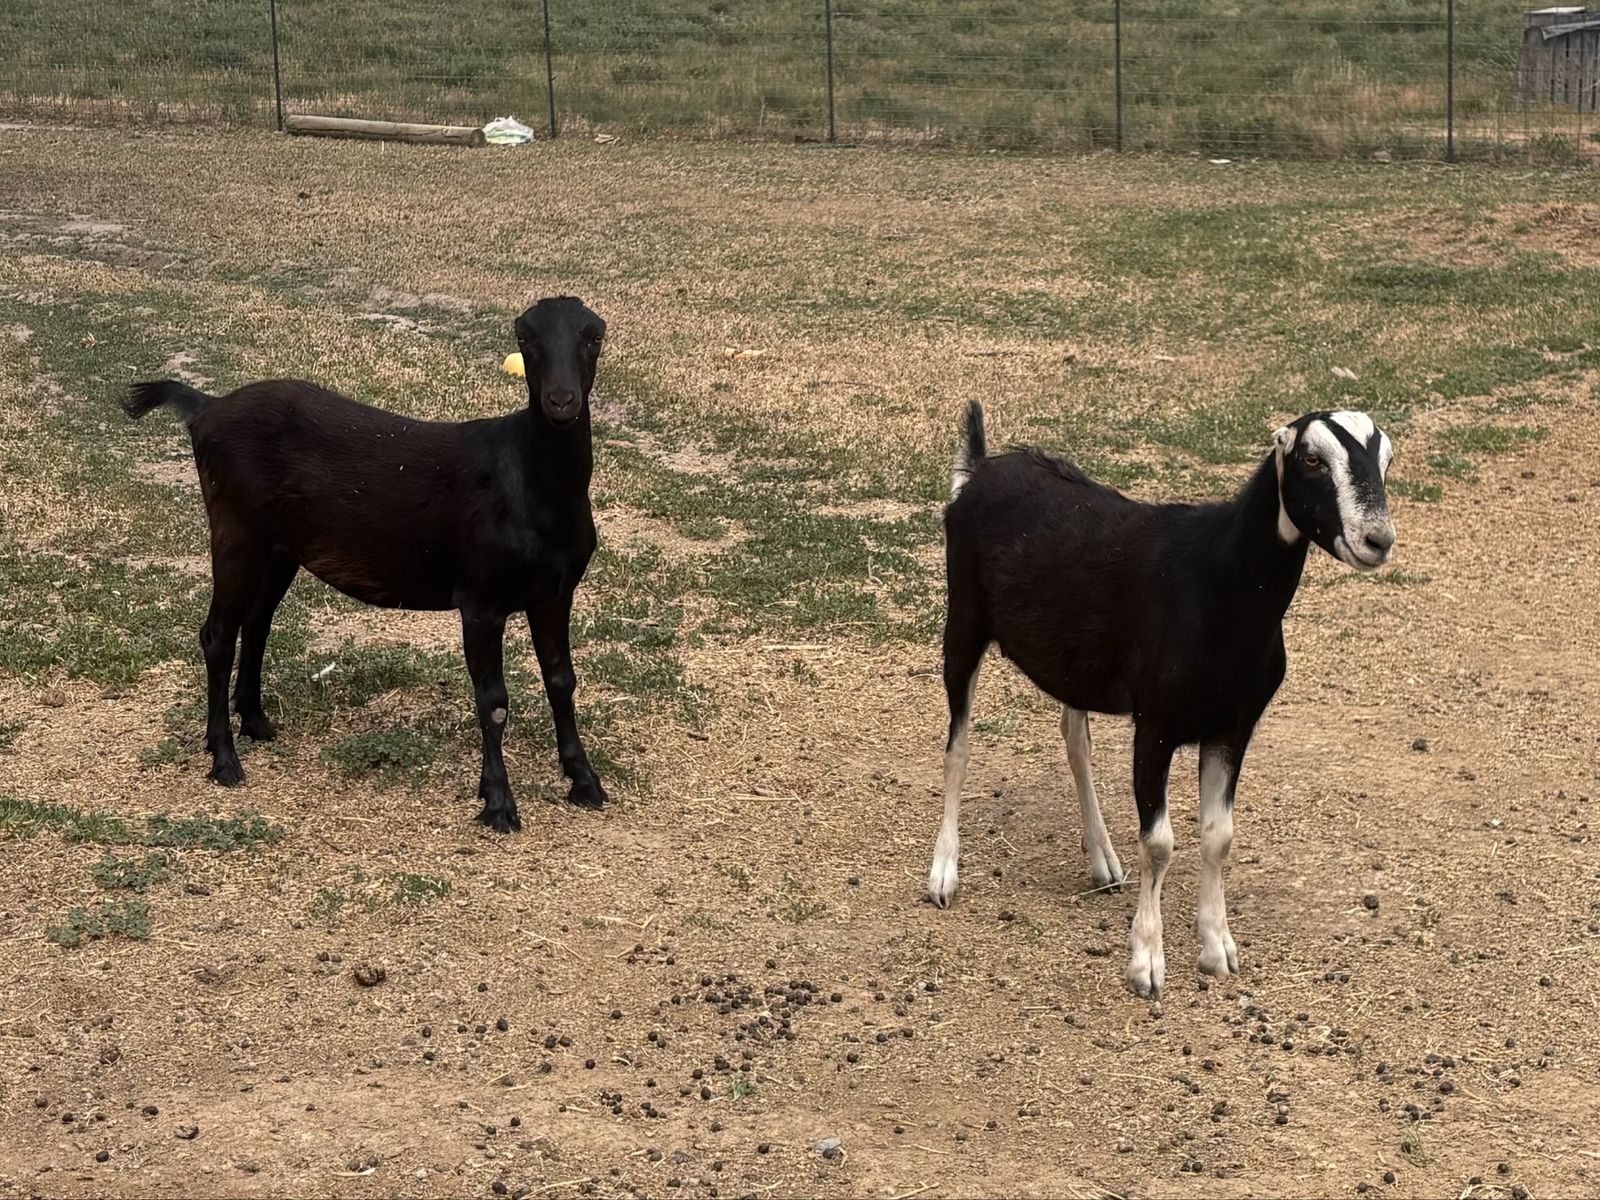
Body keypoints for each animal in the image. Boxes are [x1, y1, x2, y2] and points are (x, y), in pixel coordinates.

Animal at [121, 296, 610, 832]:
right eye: (525, 337)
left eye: (594, 336)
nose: (561, 402)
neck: (529, 485)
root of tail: (207, 407)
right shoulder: (481, 597)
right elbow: (494, 701)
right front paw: (498, 802)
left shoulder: (555, 592)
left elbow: (562, 681)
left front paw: (585, 781)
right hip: (235, 532)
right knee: (217, 635)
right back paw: (224, 759)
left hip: (280, 547)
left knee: (257, 622)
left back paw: (254, 721)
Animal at [928, 403, 1395, 997]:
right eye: (1312, 459)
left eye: (1386, 459)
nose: (1378, 540)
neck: (1219, 586)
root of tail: (981, 469)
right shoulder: (1155, 725)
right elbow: (1159, 843)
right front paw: (1146, 962)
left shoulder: (1232, 727)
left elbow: (1218, 836)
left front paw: (1217, 947)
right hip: (963, 619)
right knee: (958, 747)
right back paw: (944, 873)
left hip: (1072, 658)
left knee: (1073, 737)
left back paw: (1103, 860)